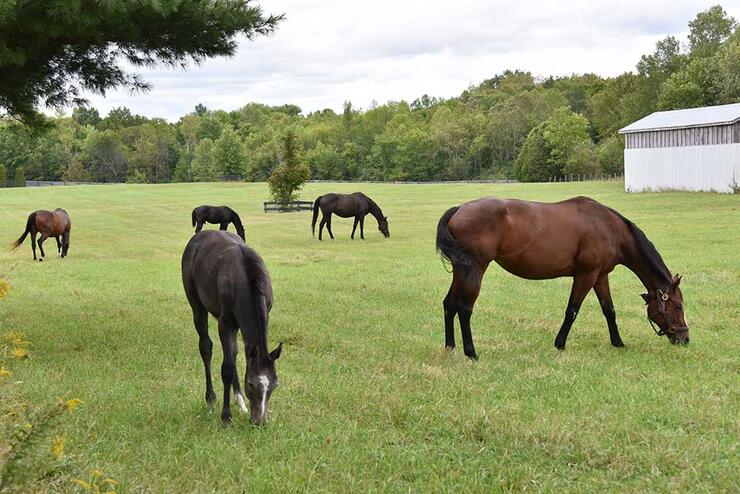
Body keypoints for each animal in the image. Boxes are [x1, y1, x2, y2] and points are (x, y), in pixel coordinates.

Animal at [181, 231, 282, 424]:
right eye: (251, 383)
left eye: (274, 384)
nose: (259, 422)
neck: (246, 280)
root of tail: (198, 236)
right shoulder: (225, 323)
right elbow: (227, 367)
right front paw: (226, 416)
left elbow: (235, 356)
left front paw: (239, 402)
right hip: (197, 304)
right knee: (205, 347)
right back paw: (211, 401)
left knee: (233, 353)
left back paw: (239, 400)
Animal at [436, 196, 692, 358]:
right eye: (678, 306)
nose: (685, 338)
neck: (610, 229)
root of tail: (459, 209)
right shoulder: (585, 275)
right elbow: (572, 311)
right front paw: (559, 344)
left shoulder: (601, 277)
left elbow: (609, 310)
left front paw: (618, 342)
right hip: (475, 270)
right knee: (464, 308)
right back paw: (471, 352)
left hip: (461, 271)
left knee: (449, 304)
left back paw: (450, 348)